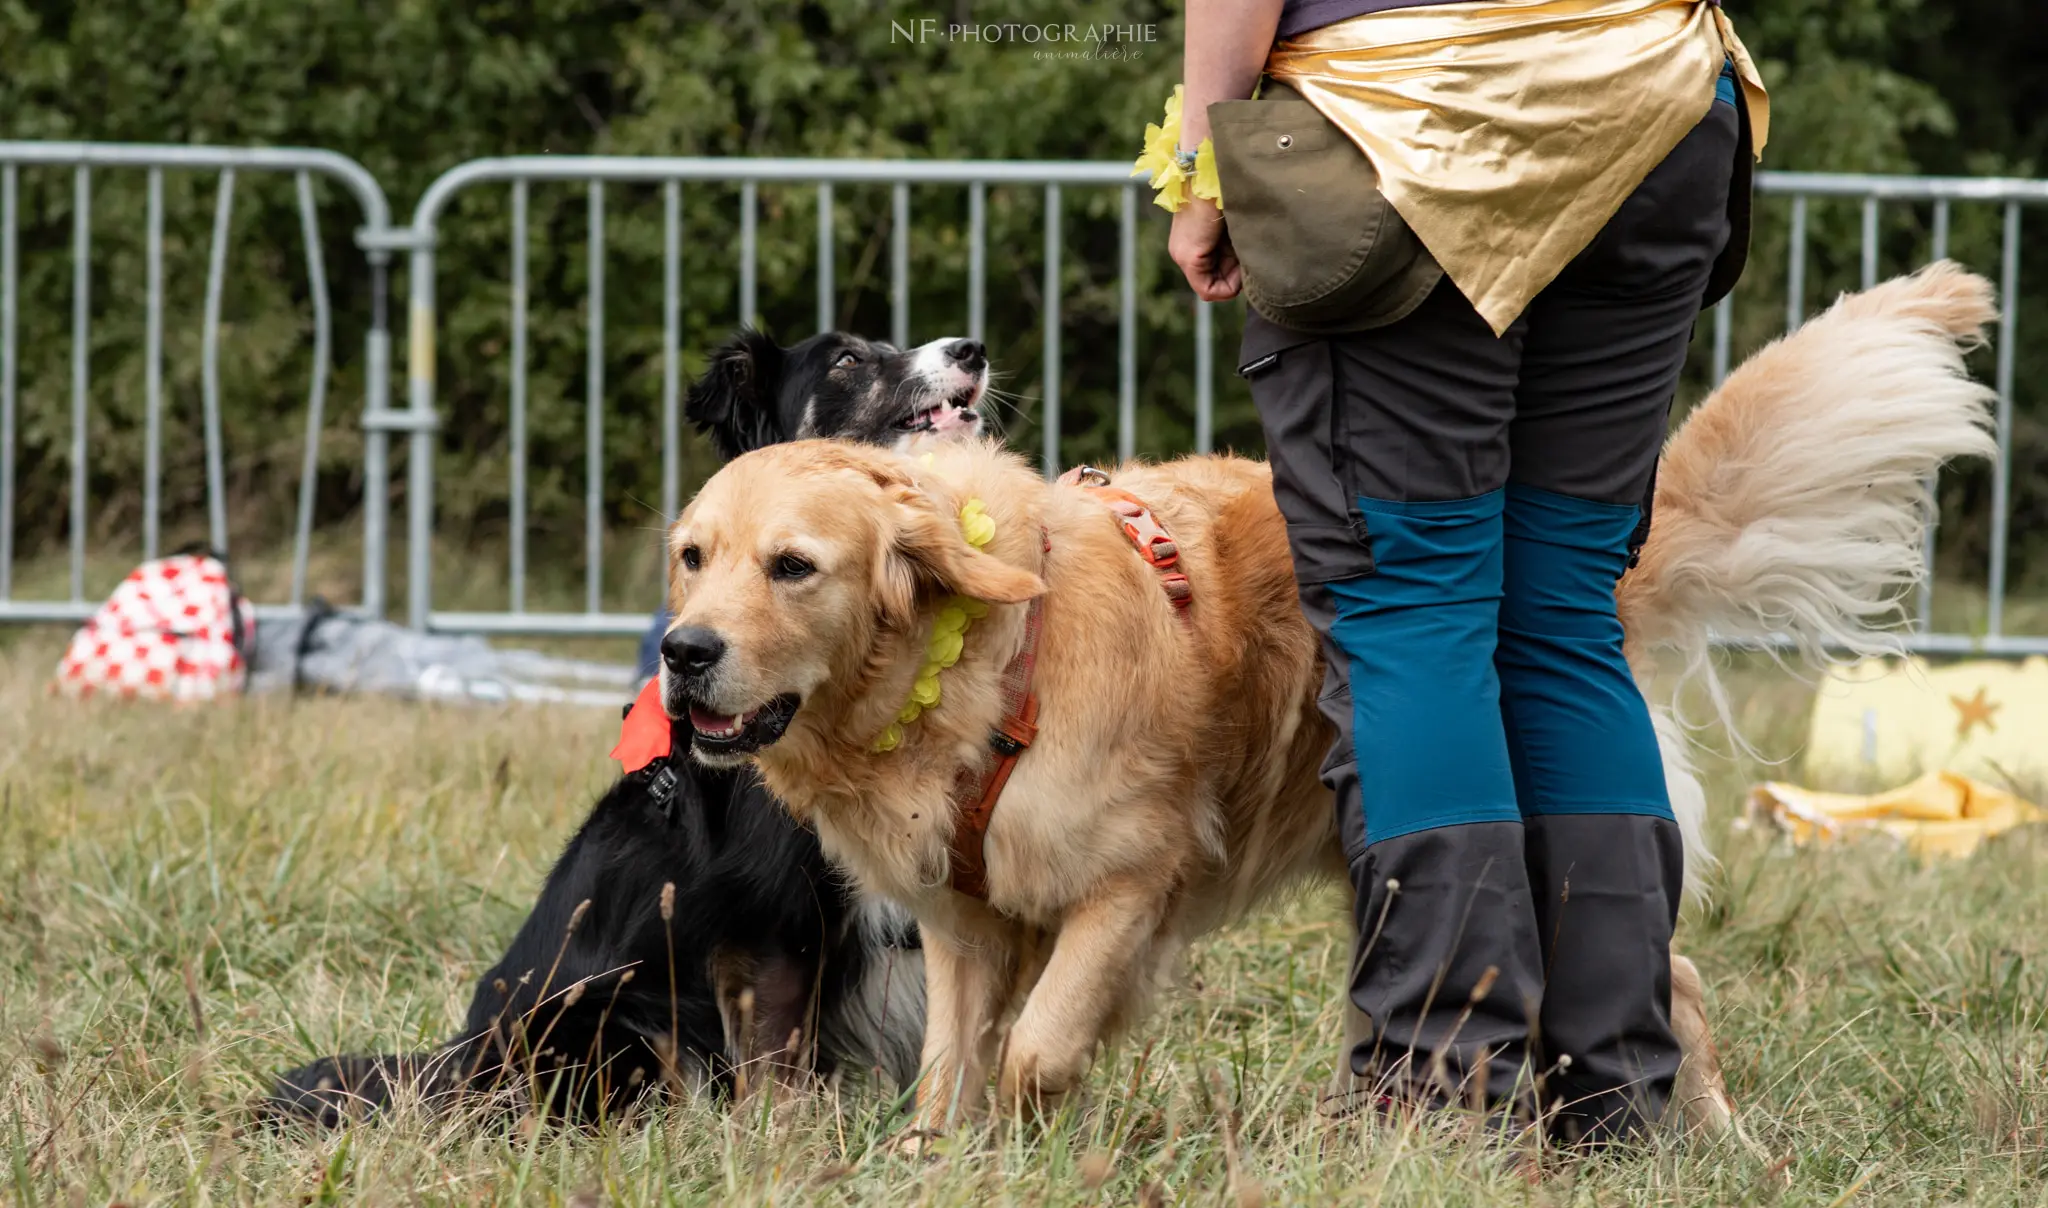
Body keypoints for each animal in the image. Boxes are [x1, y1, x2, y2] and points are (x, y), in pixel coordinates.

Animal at [260, 331, 987, 1130]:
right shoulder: (773, 921)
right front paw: (785, 1147)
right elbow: (779, 1073)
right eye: (847, 360)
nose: (970, 349)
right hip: (612, 1021)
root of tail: (457, 1064)